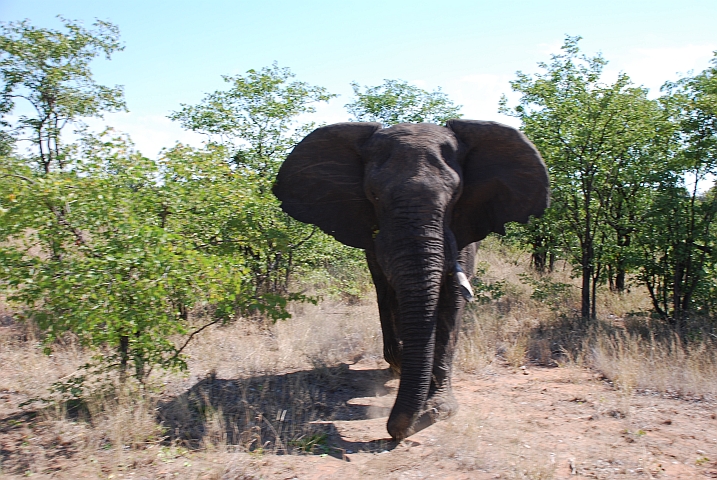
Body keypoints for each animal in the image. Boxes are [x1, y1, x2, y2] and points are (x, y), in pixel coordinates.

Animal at [272, 119, 548, 438]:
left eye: (455, 195)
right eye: (373, 195)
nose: (396, 432)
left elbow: (452, 302)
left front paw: (438, 410)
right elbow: (389, 292)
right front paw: (407, 373)